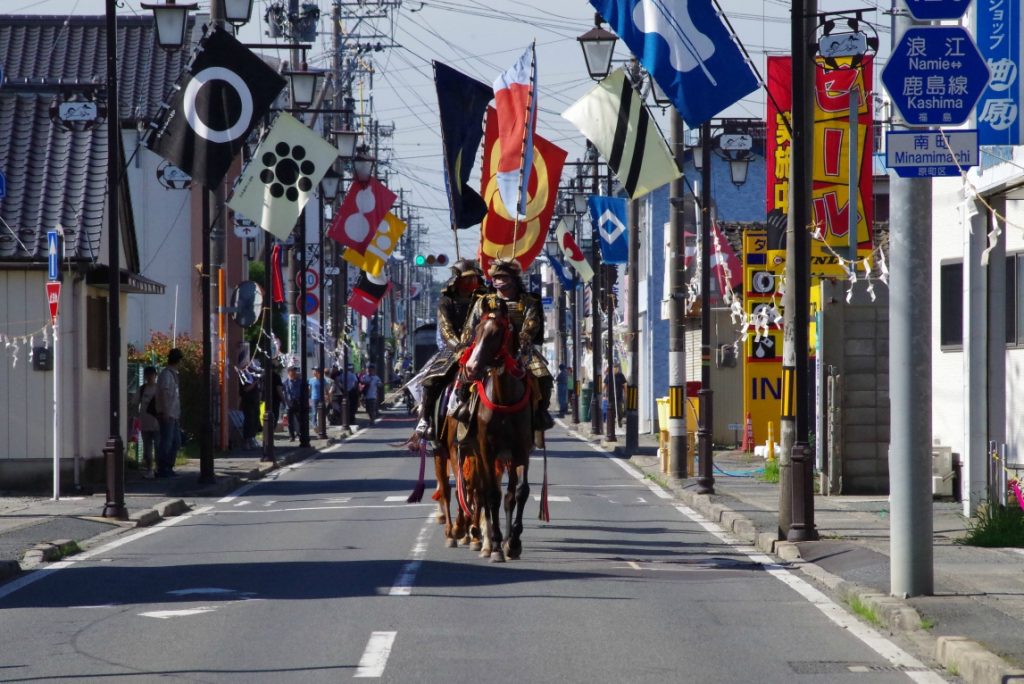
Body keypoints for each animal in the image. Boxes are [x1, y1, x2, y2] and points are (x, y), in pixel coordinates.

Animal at [464, 298, 540, 561]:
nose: (471, 367)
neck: (505, 397)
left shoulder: (521, 448)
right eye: (476, 331)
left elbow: (520, 491)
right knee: (484, 493)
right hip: (479, 453)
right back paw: (485, 541)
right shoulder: (487, 449)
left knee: (508, 495)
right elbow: (491, 495)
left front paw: (513, 541)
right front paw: (496, 544)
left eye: (497, 333)